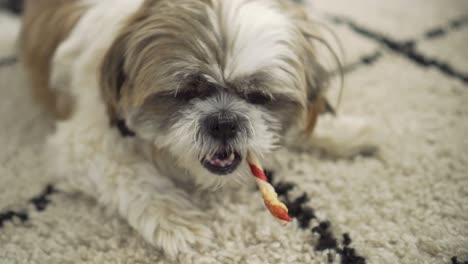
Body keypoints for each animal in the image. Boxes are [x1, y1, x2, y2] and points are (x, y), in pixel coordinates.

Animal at [18, 0, 376, 256]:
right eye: (184, 93)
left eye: (258, 96)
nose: (224, 121)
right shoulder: (82, 144)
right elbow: (132, 176)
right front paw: (176, 222)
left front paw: (344, 133)